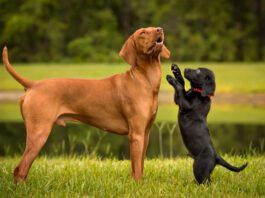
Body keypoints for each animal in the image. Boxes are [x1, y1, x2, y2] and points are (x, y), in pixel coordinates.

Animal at [2, 26, 169, 183]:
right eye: (142, 33)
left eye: (153, 28)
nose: (160, 29)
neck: (144, 80)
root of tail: (34, 84)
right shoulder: (136, 135)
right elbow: (137, 168)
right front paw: (137, 185)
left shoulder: (145, 134)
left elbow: (139, 165)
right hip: (39, 133)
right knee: (20, 169)